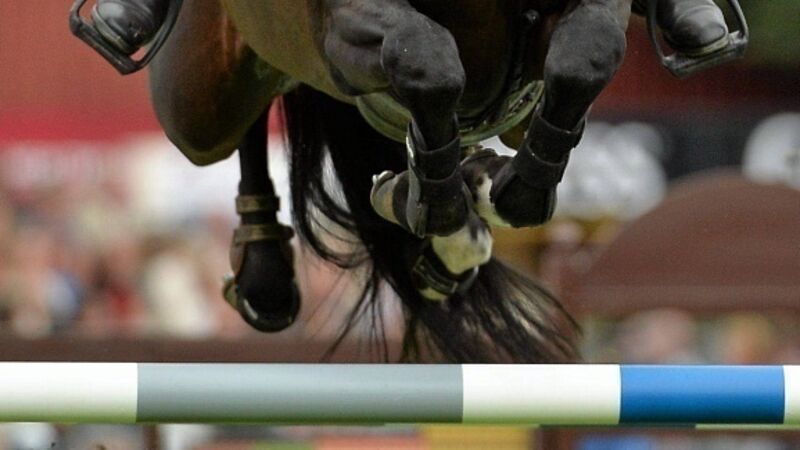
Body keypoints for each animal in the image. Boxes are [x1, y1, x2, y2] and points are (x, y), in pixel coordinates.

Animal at [69, 0, 745, 363]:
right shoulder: (349, 23)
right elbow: (426, 60)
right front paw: (429, 199)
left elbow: (588, 54)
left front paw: (500, 193)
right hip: (197, 95)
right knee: (244, 116)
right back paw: (268, 269)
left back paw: (462, 214)